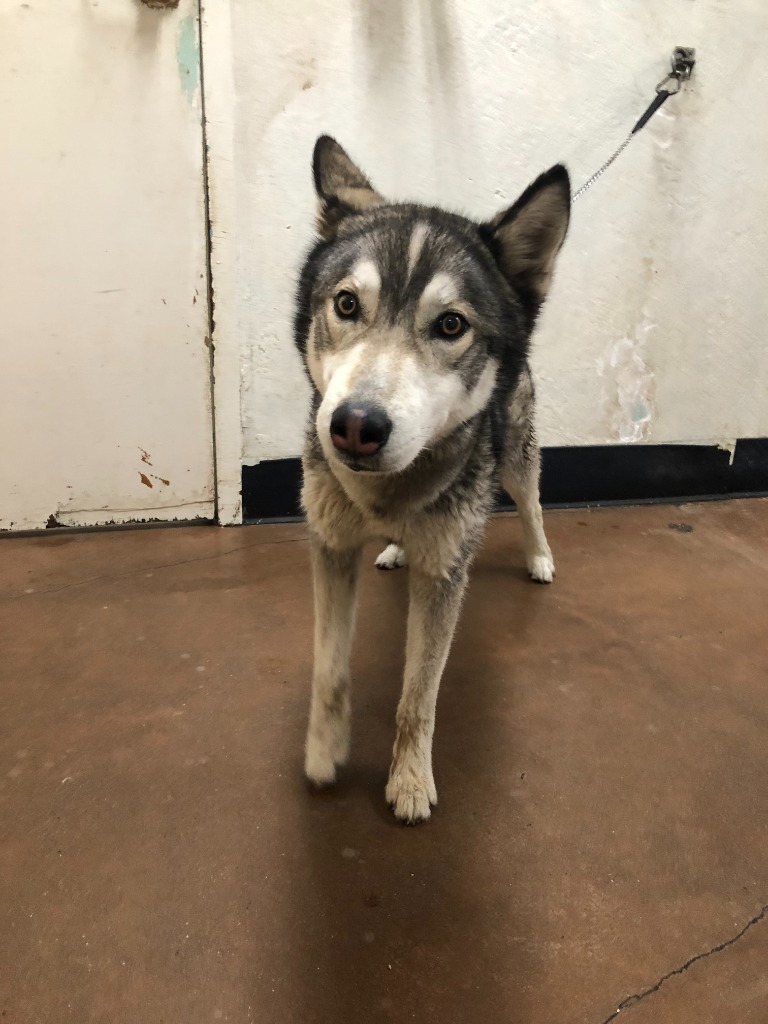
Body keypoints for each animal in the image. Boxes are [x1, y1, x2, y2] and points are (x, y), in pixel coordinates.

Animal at [294, 136, 573, 823]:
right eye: (346, 304)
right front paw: (325, 750)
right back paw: (396, 548)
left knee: (531, 503)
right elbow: (328, 668)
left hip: (517, 459)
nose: (354, 426)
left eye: (451, 325)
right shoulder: (330, 548)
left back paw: (539, 557)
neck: (387, 495)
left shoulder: (446, 572)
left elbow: (419, 695)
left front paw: (411, 781)